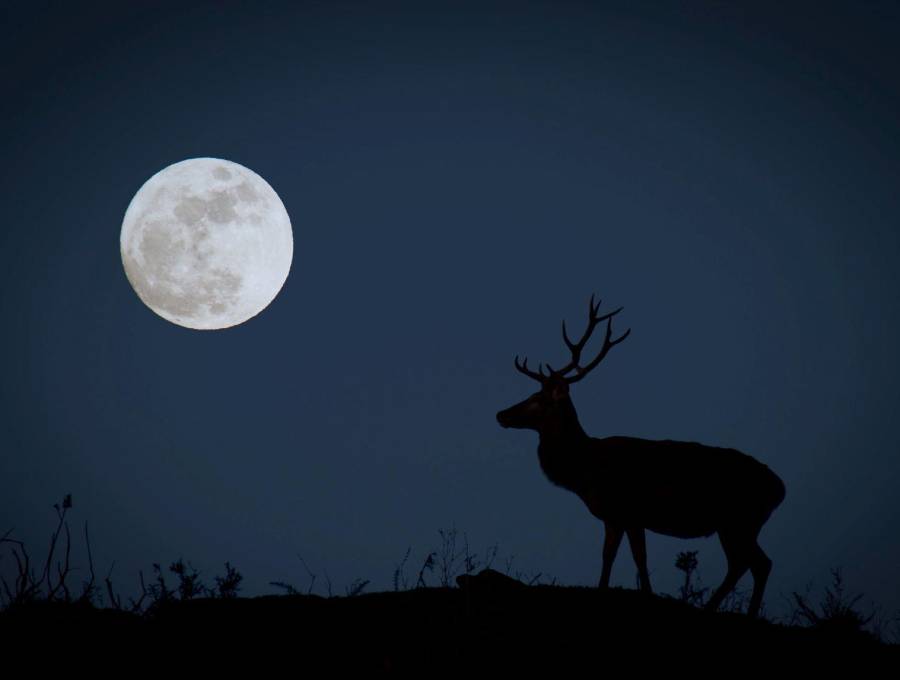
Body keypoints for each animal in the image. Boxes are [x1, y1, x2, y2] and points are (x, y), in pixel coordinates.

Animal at [496, 295, 786, 617]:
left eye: (538, 399)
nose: (501, 414)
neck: (586, 471)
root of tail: (780, 488)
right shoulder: (616, 517)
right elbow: (613, 557)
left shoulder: (630, 511)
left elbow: (635, 559)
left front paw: (640, 594)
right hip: (740, 524)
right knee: (753, 564)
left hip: (739, 519)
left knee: (752, 563)